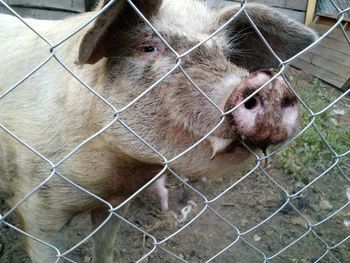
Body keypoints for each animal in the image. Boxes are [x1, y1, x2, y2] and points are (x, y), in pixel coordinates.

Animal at [0, 0, 318, 262]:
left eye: (227, 56)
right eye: (148, 47)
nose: (270, 84)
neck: (117, 172)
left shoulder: (116, 203)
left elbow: (106, 248)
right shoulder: (37, 207)